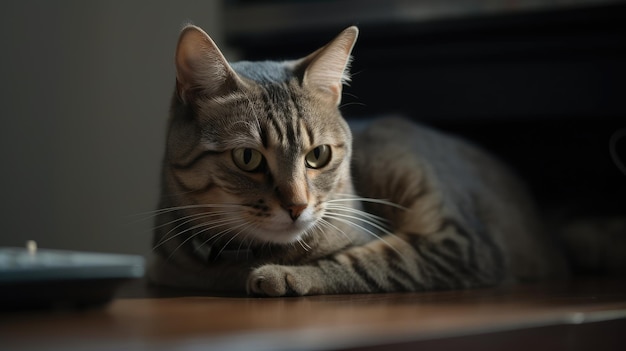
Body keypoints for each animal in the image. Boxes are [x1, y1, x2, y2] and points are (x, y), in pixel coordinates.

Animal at [149, 24, 568, 296]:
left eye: (318, 155)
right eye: (248, 157)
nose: (297, 206)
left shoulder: (458, 247)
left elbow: (374, 262)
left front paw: (284, 277)